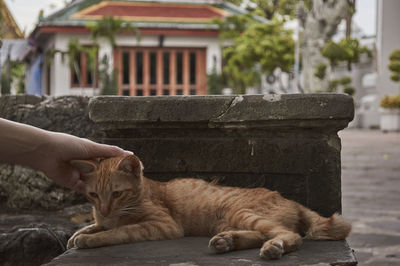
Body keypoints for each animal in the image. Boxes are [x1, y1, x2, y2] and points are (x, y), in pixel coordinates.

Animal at [66, 155, 350, 258]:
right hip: (227, 220)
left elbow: (119, 231)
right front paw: (80, 233)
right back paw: (227, 241)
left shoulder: (164, 225)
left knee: (288, 235)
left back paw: (273, 248)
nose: (104, 209)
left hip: (240, 212)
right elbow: (96, 226)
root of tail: (293, 201)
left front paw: (90, 239)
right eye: (93, 195)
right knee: (263, 233)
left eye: (117, 194)